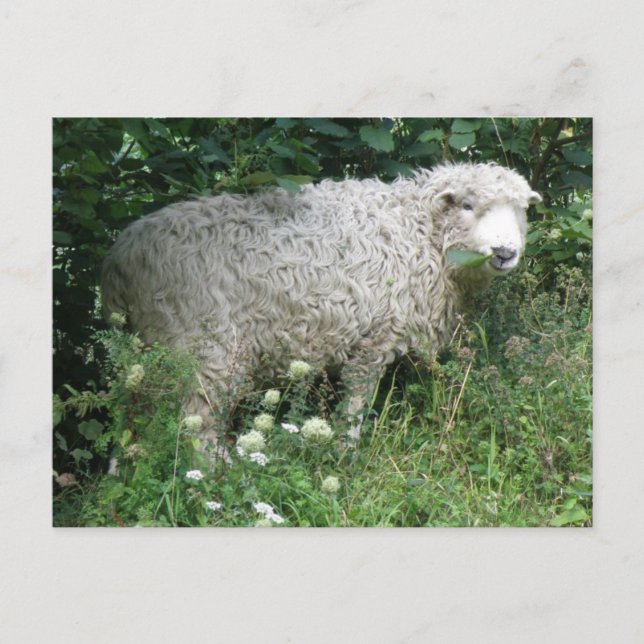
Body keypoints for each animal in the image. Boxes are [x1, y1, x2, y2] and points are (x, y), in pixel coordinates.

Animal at [101, 162, 541, 448]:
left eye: (522, 210)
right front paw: (346, 457)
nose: (505, 252)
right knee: (196, 424)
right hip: (204, 348)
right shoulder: (373, 341)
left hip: (142, 352)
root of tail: (121, 259)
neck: (417, 231)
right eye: (467, 205)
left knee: (129, 418)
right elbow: (355, 408)